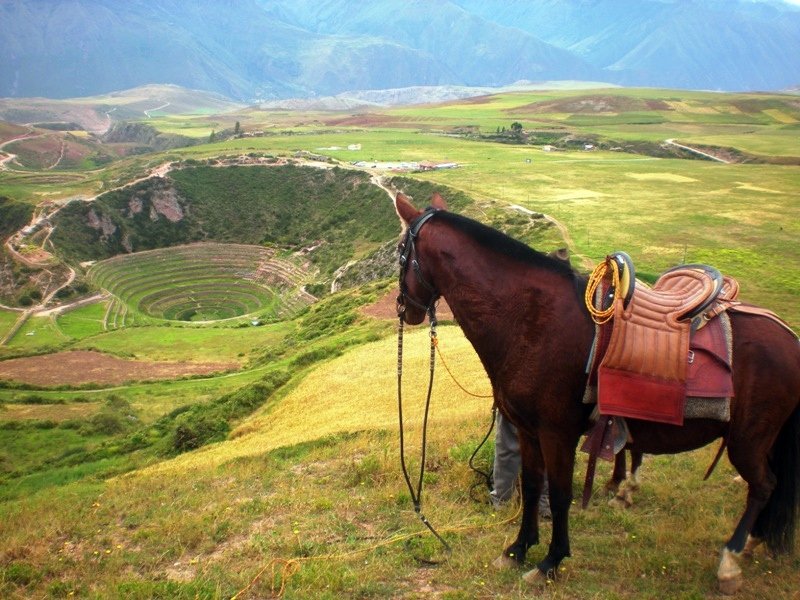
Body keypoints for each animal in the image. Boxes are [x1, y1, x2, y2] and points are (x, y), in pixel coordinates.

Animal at [396, 193, 800, 596]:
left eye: (400, 252)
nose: (405, 310)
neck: (531, 319)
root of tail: (790, 337)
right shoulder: (528, 431)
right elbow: (532, 486)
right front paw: (518, 549)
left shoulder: (557, 434)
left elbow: (560, 495)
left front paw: (550, 562)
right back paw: (751, 543)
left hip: (748, 440)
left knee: (763, 485)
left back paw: (731, 560)